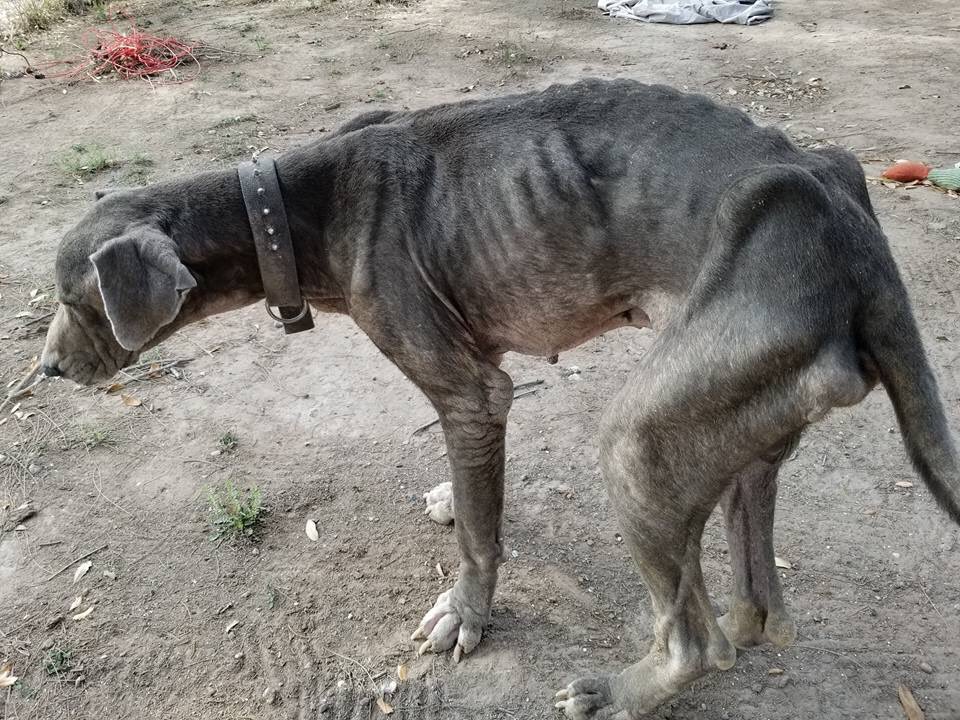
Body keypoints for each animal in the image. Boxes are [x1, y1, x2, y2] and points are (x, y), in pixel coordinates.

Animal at [40, 78, 960, 719]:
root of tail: (846, 218)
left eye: (77, 303)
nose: (45, 371)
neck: (294, 209)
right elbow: (478, 494)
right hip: (739, 431)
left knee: (695, 643)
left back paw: (619, 691)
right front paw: (456, 496)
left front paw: (465, 615)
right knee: (759, 607)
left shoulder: (473, 391)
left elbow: (481, 541)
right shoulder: (479, 388)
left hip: (638, 445)